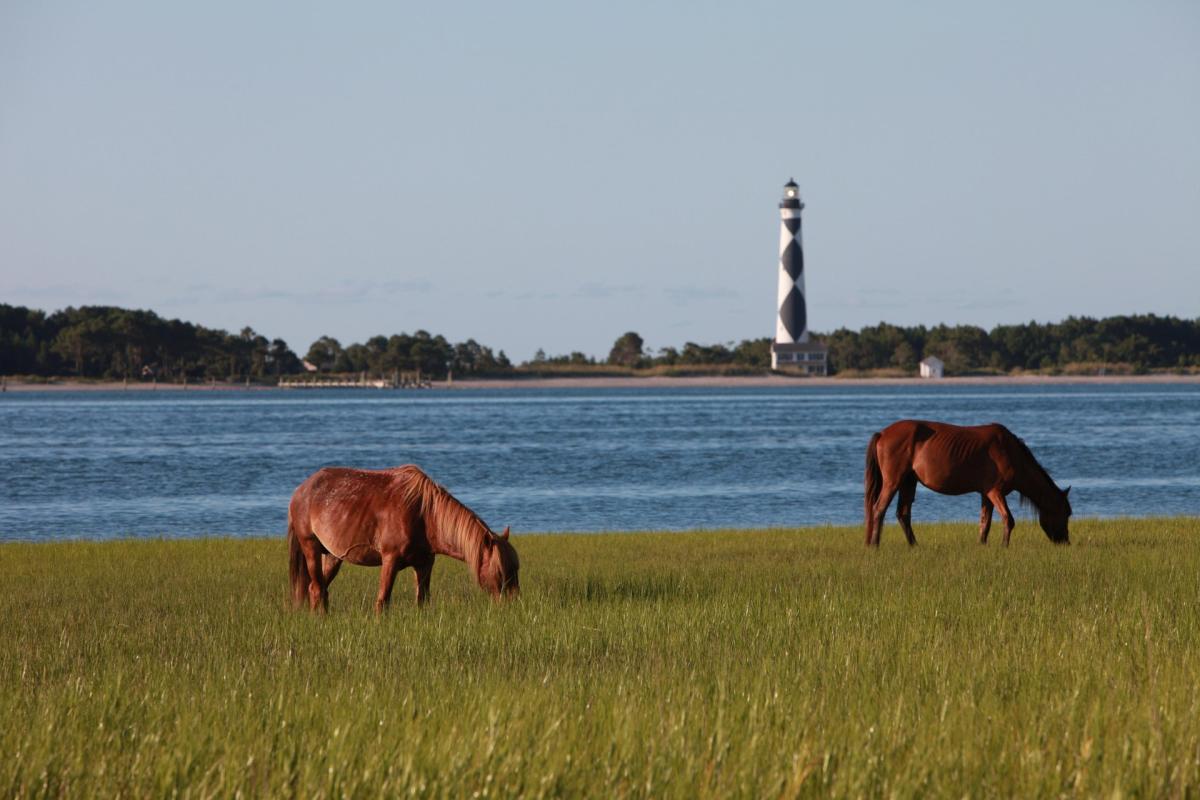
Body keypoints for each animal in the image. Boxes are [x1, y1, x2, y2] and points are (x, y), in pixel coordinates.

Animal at [287, 464, 519, 612]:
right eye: (500, 571)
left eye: (516, 569)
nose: (513, 605)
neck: (425, 515)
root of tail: (302, 490)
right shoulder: (390, 560)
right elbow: (383, 601)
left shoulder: (424, 564)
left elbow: (422, 601)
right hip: (311, 548)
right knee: (317, 589)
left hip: (333, 556)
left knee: (319, 589)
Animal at [863, 420, 1072, 547]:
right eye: (1066, 513)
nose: (1065, 542)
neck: (1010, 452)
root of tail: (883, 433)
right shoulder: (995, 492)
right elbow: (1008, 519)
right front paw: (1004, 546)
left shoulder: (986, 494)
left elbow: (985, 522)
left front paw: (982, 545)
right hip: (893, 481)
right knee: (879, 509)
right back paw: (875, 545)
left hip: (909, 481)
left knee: (903, 514)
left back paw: (914, 545)